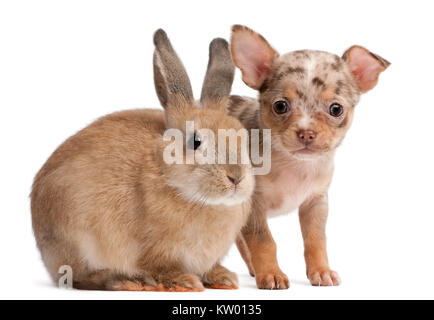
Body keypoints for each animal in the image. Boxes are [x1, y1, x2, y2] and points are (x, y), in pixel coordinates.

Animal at [30, 28, 254, 292]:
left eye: (243, 138)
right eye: (196, 142)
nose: (236, 178)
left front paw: (224, 278)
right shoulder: (155, 252)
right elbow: (162, 268)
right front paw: (186, 282)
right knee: (82, 277)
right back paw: (127, 281)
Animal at [229, 25, 388, 288]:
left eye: (336, 109)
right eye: (280, 106)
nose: (306, 132)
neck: (294, 165)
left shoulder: (316, 203)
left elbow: (316, 240)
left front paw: (321, 271)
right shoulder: (254, 207)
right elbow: (264, 241)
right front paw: (271, 273)